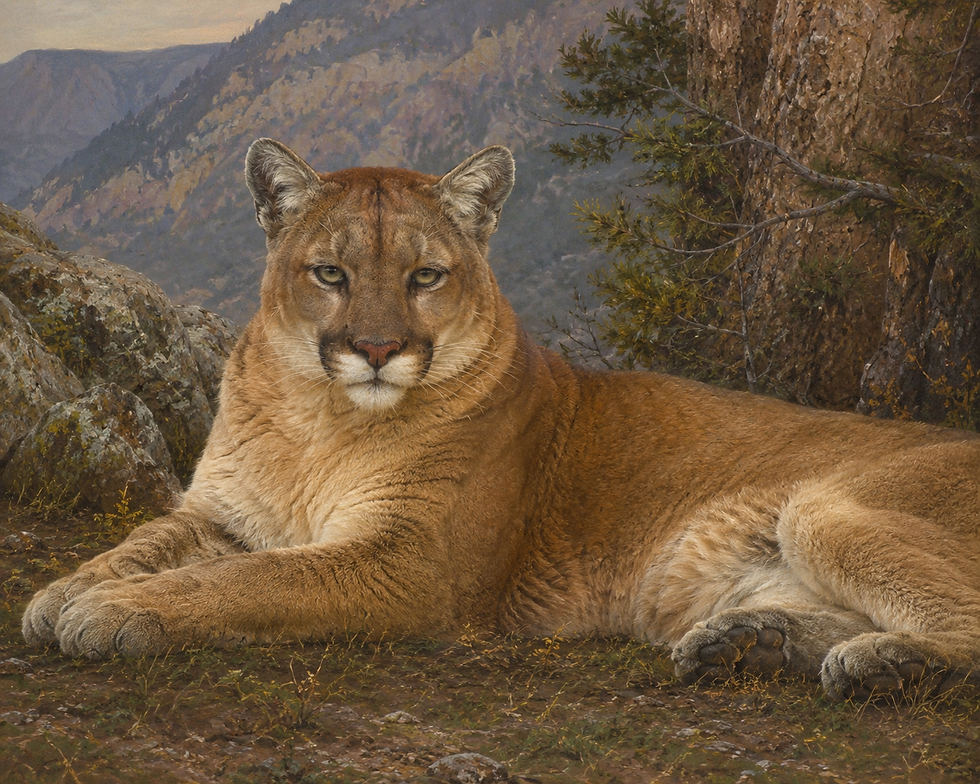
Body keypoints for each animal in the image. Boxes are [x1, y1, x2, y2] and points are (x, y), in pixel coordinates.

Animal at [22, 139, 980, 700]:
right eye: (331, 273)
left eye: (425, 276)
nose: (377, 349)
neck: (315, 418)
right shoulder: (218, 510)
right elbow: (146, 541)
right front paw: (63, 592)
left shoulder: (412, 563)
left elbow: (247, 581)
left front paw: (112, 611)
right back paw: (753, 643)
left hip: (824, 507)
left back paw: (872, 665)